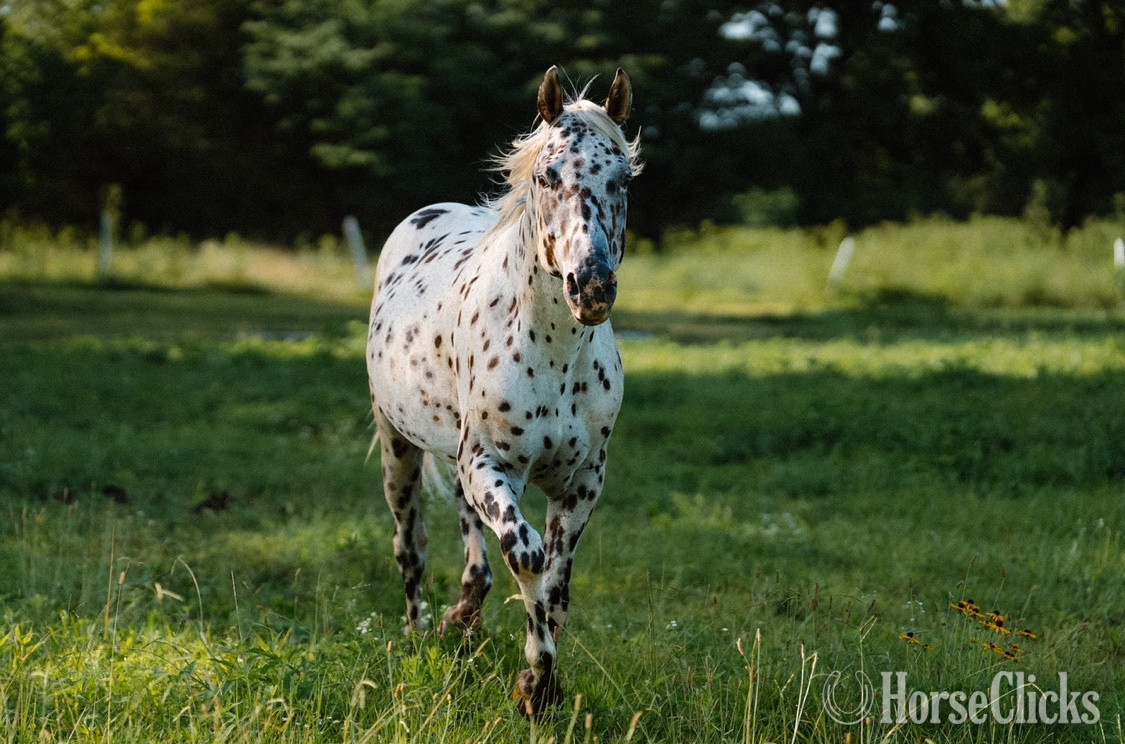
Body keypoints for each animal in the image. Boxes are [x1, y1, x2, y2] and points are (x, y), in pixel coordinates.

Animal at [365, 65, 640, 718]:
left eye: (622, 178)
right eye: (547, 176)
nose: (592, 286)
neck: (553, 353)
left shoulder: (582, 482)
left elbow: (557, 582)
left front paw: (544, 684)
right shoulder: (490, 465)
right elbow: (527, 555)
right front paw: (534, 683)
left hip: (455, 456)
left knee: (473, 558)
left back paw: (459, 620)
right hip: (399, 448)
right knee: (410, 545)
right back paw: (421, 632)